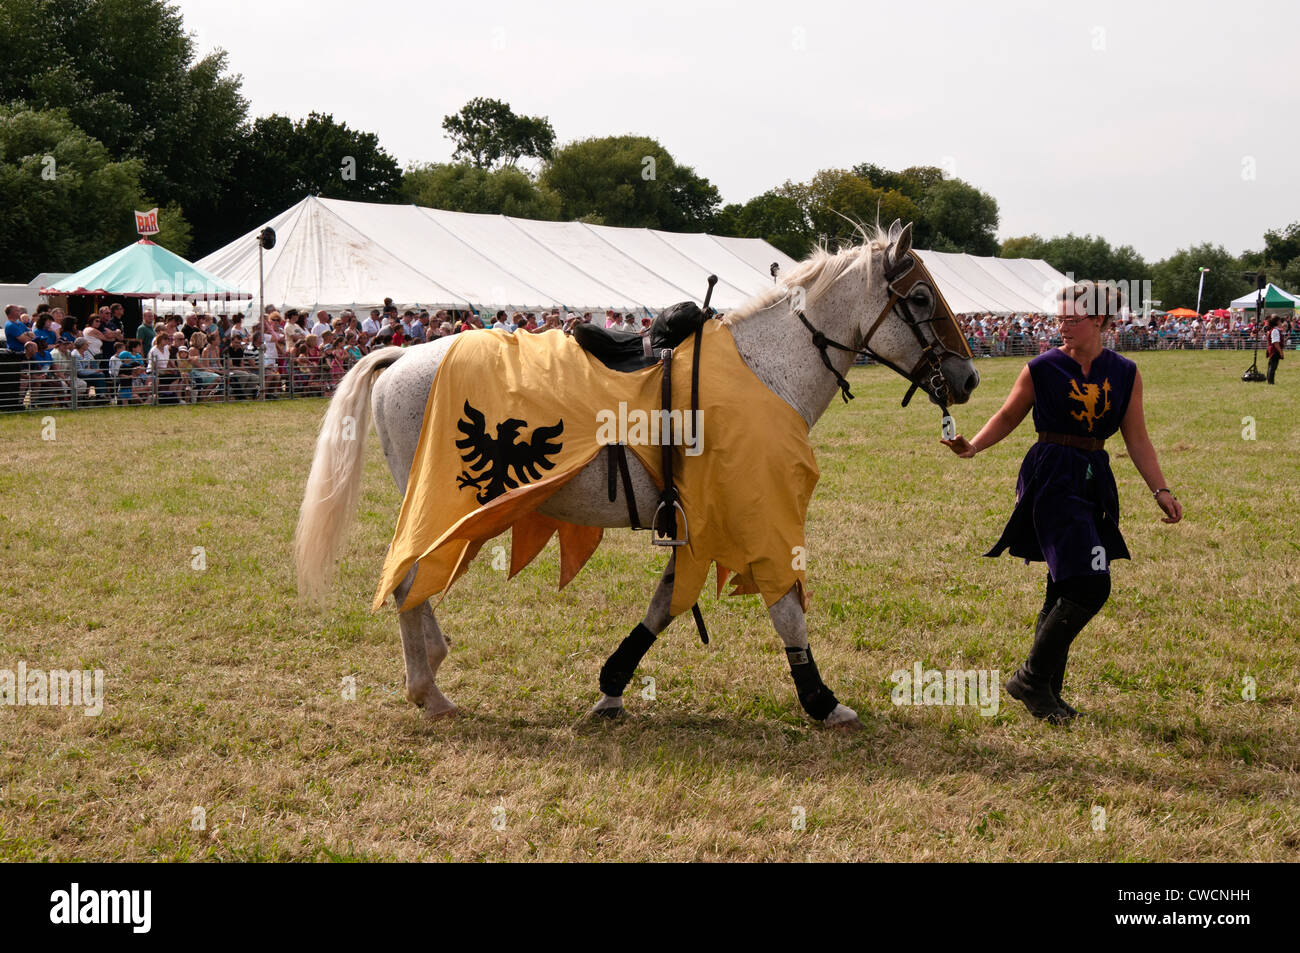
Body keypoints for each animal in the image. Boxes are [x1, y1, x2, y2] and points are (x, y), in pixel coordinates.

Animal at [294, 221, 979, 731]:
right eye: (920, 298)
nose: (968, 378)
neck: (765, 371)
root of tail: (401, 355)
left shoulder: (695, 520)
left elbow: (664, 604)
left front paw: (611, 687)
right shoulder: (753, 515)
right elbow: (785, 607)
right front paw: (822, 701)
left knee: (414, 581)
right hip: (444, 502)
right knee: (410, 579)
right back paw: (428, 690)